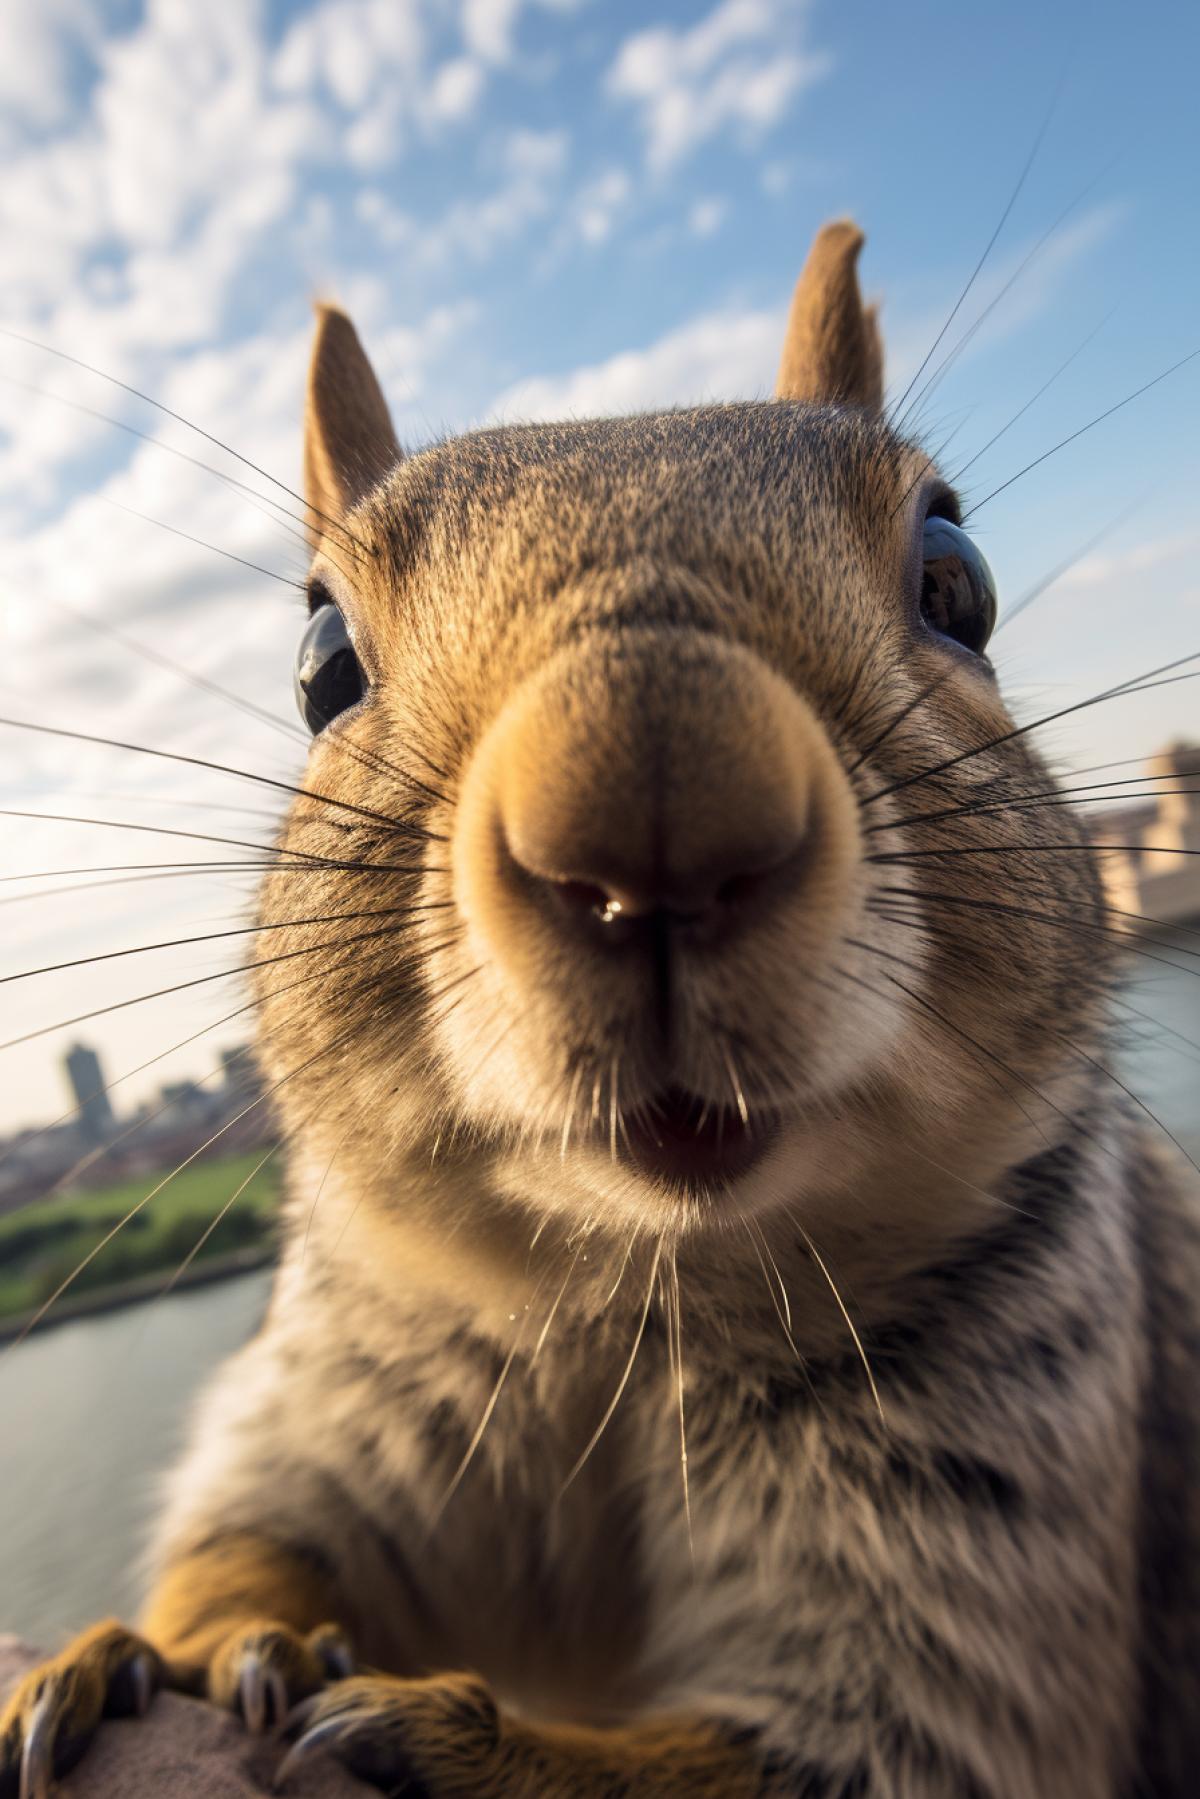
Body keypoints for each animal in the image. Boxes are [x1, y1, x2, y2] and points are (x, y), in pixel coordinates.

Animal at [2, 220, 1198, 1798]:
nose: (658, 806)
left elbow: (844, 1749)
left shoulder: (996, 1511)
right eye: (321, 666)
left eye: (961, 581)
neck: (623, 1305)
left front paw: (454, 1734)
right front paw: (166, 1648)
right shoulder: (335, 1401)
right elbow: (247, 1531)